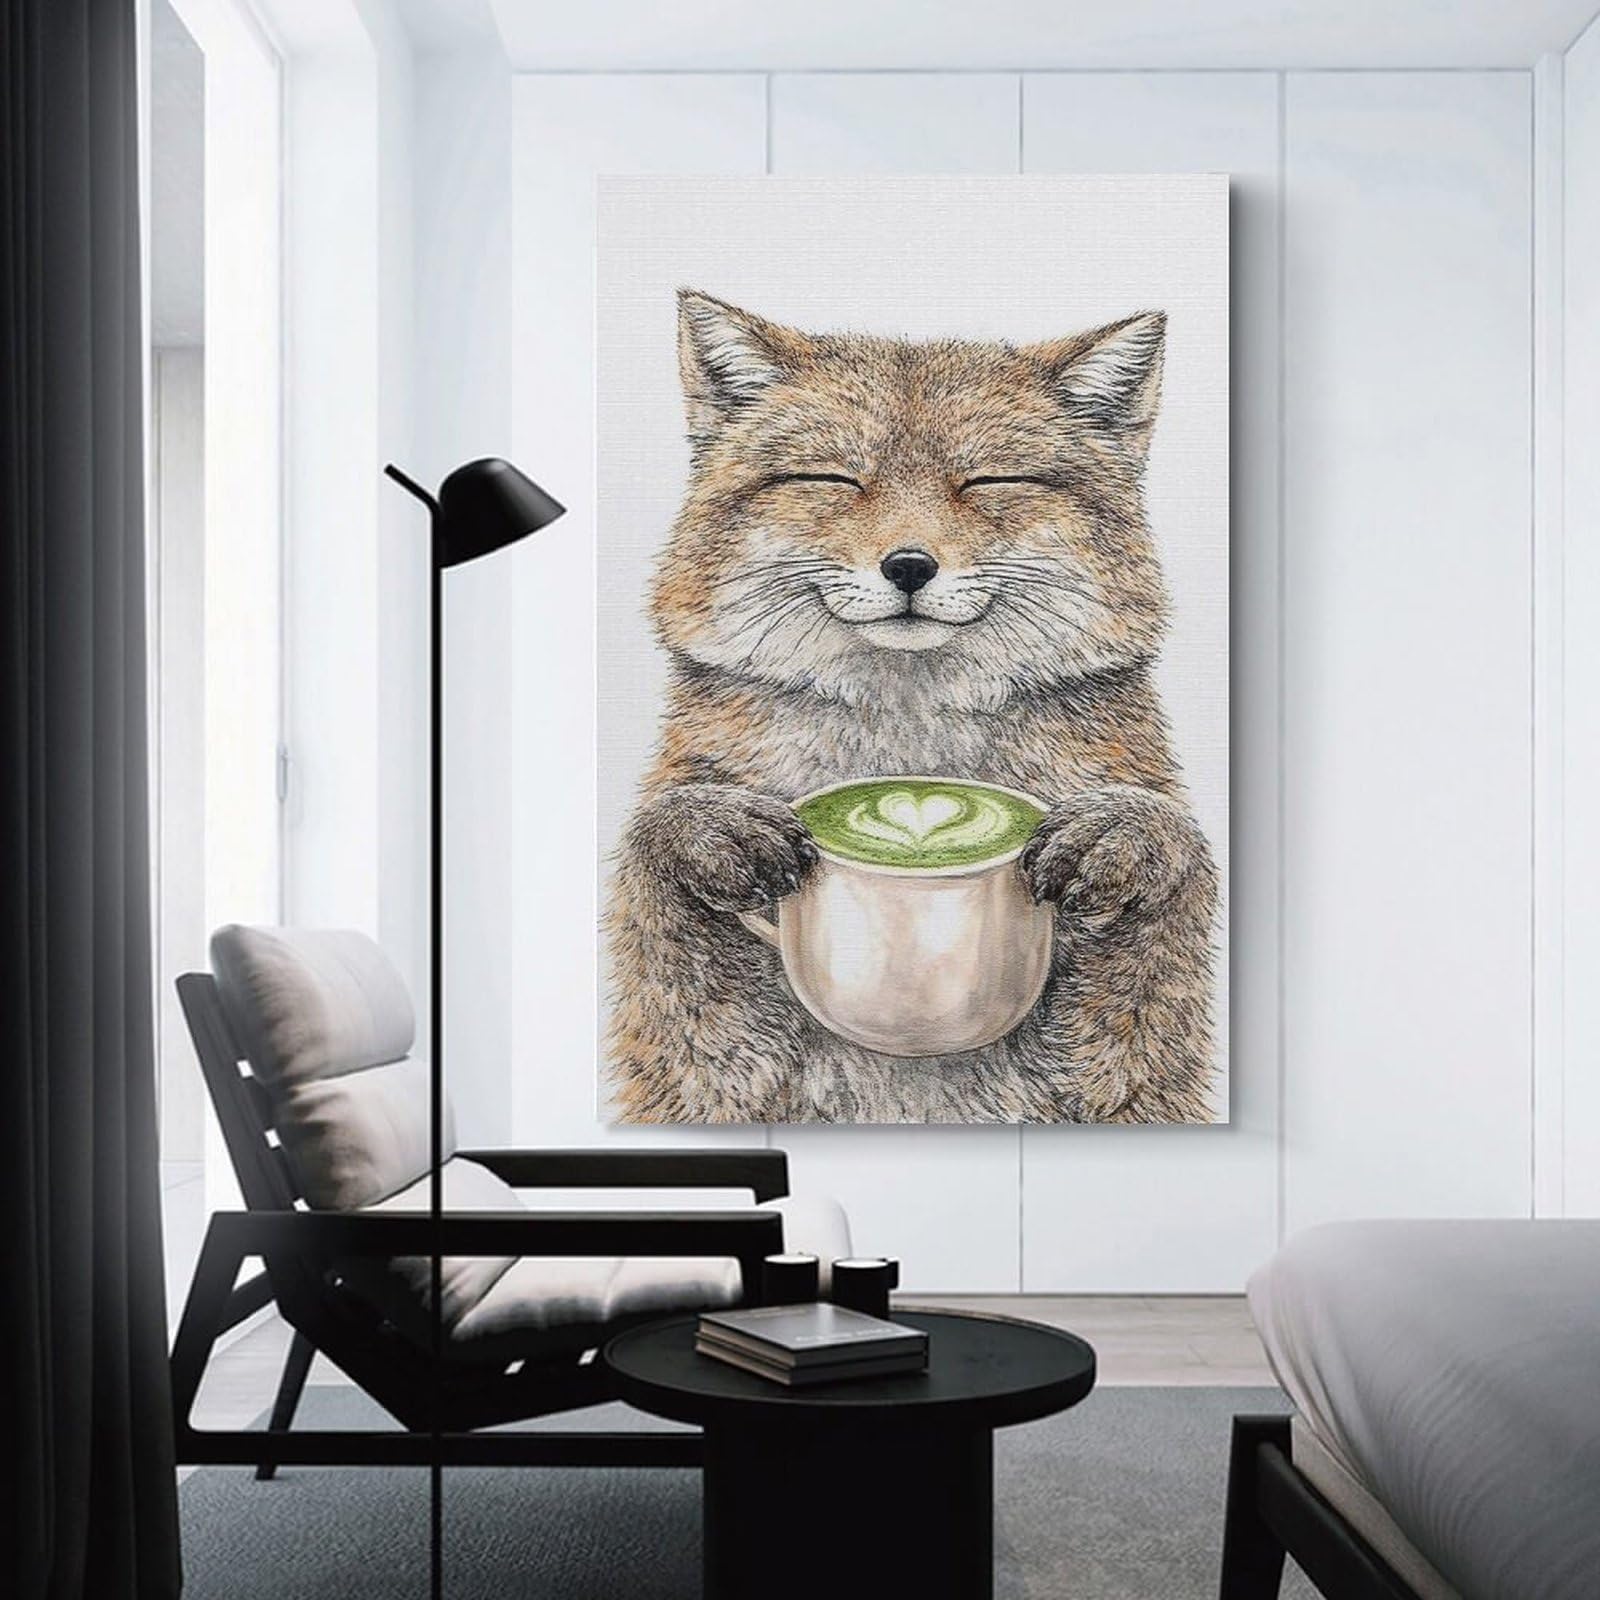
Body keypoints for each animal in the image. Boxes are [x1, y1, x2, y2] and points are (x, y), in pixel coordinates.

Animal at [604, 290, 1219, 1124]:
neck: (911, 748)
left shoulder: (1124, 1079)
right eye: (834, 478)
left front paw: (1124, 837)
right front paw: (705, 830)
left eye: (987, 481)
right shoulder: (707, 1072)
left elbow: (1171, 868)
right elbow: (657, 858)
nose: (908, 566)